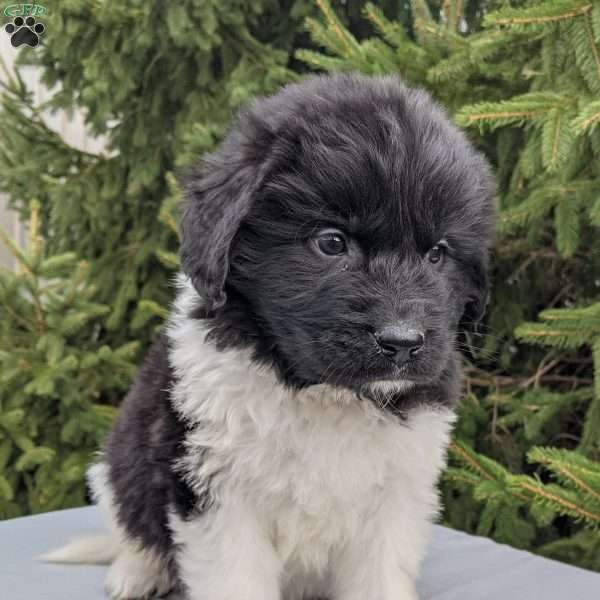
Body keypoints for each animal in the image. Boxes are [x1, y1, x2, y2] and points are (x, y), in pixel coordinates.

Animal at [47, 74, 494, 600]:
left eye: (438, 254)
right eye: (330, 243)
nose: (402, 342)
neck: (323, 393)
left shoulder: (396, 495)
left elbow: (379, 577)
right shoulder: (216, 489)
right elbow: (233, 578)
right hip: (118, 459)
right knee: (130, 523)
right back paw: (136, 573)